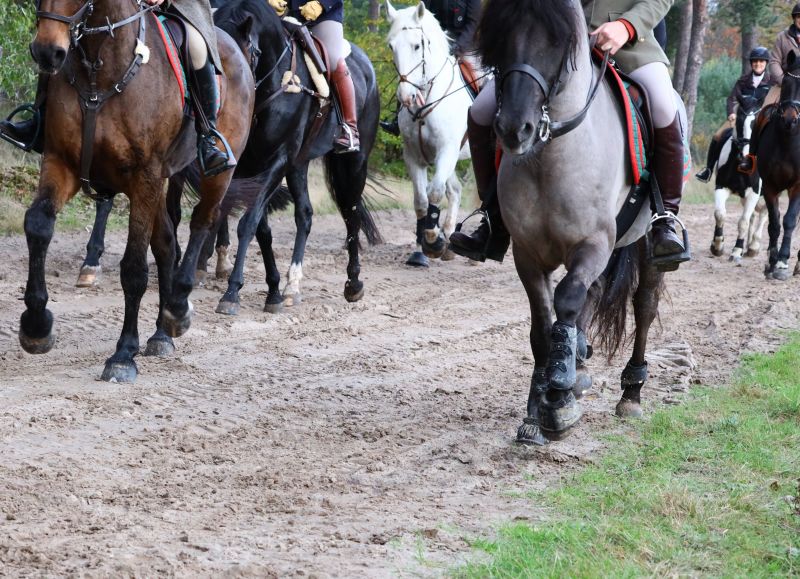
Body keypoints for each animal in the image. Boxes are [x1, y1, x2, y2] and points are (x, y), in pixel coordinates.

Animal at [21, 0, 254, 382]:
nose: (47, 51)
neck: (99, 67)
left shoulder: (144, 176)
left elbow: (133, 268)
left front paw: (123, 354)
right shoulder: (61, 163)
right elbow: (38, 225)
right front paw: (36, 326)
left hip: (216, 173)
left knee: (201, 223)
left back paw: (178, 308)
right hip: (159, 184)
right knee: (166, 245)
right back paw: (161, 333)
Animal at [209, 0, 381, 316]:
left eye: (248, 51)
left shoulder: (279, 161)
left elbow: (248, 223)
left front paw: (231, 293)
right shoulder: (249, 166)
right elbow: (262, 228)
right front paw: (274, 291)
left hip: (353, 163)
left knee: (351, 214)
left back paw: (353, 284)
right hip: (300, 165)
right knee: (305, 215)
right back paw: (292, 286)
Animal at [385, 0, 472, 268]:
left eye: (417, 45)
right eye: (391, 46)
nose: (406, 96)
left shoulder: (447, 150)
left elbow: (434, 192)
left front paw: (433, 240)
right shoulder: (414, 156)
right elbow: (421, 202)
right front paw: (422, 249)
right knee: (454, 190)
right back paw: (450, 242)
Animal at [709, 109, 767, 265]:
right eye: (739, 122)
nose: (745, 159)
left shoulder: (754, 193)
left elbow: (743, 222)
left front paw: (736, 251)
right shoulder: (722, 187)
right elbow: (720, 214)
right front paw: (717, 246)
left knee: (764, 213)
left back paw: (753, 247)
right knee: (754, 215)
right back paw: (748, 246)